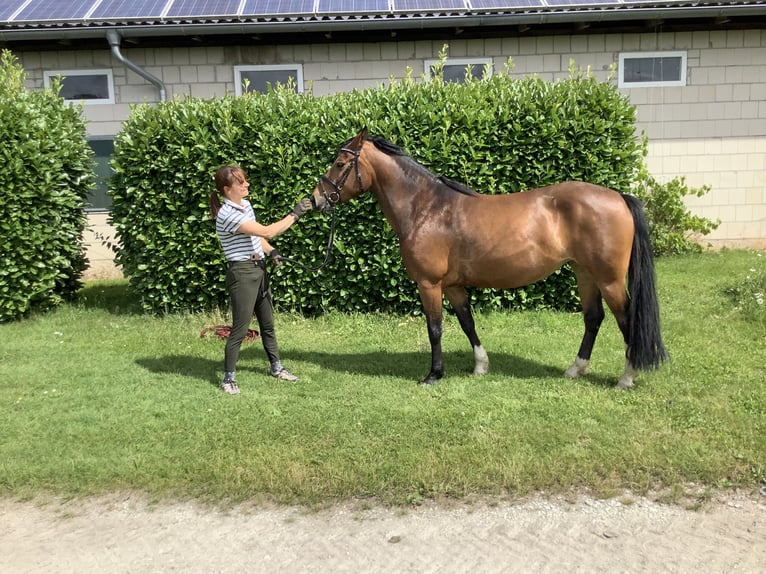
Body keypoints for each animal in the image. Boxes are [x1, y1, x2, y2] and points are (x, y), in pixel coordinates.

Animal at [308, 128, 668, 390]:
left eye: (340, 164)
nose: (316, 200)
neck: (427, 209)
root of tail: (618, 196)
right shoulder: (453, 286)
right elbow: (467, 323)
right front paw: (481, 366)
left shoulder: (429, 284)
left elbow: (435, 328)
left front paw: (433, 375)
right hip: (584, 273)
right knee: (593, 318)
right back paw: (575, 369)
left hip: (609, 279)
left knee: (626, 320)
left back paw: (627, 377)